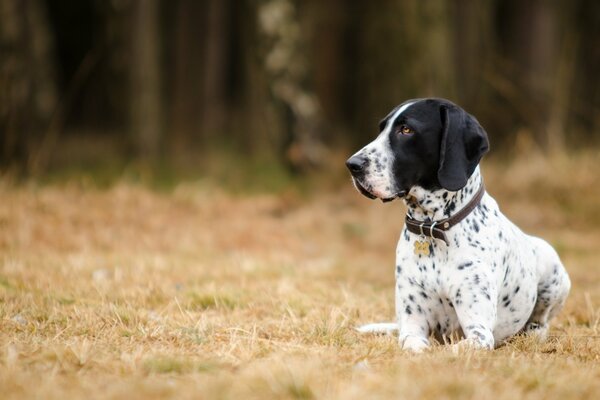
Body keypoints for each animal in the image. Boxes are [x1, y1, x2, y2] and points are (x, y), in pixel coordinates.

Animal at [344, 98, 568, 352]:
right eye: (381, 129)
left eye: (406, 130)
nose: (352, 164)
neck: (432, 228)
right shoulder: (413, 325)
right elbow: (414, 344)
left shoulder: (479, 333)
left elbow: (453, 349)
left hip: (553, 268)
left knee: (541, 323)